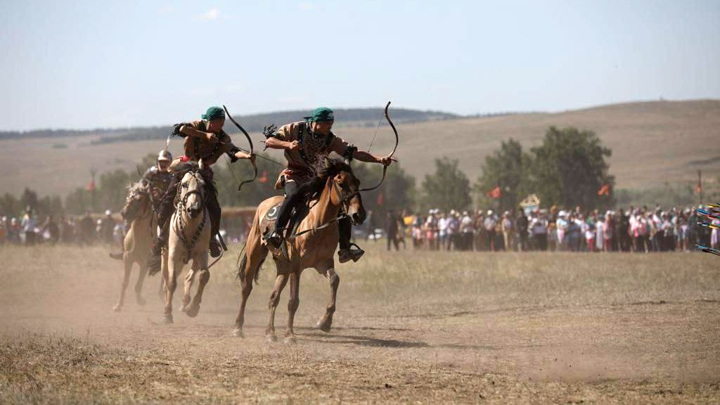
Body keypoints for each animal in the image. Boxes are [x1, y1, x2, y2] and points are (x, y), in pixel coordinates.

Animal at [112, 183, 167, 312]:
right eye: (128, 196)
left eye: (140, 199)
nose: (124, 213)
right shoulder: (128, 259)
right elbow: (125, 282)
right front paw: (118, 305)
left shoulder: (145, 263)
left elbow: (138, 285)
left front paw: (141, 301)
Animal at [160, 161, 211, 322]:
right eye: (184, 184)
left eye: (203, 185)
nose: (193, 209)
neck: (190, 225)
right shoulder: (173, 254)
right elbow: (171, 281)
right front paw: (167, 313)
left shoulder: (202, 253)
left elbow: (204, 276)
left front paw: (193, 308)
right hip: (166, 255)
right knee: (167, 278)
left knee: (190, 276)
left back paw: (186, 302)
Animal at [233, 158, 366, 340]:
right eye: (341, 183)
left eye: (357, 182)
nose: (359, 215)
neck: (317, 223)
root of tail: (263, 204)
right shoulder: (297, 266)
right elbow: (293, 301)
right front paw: (289, 335)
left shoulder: (323, 263)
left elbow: (334, 280)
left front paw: (324, 322)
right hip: (255, 253)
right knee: (246, 288)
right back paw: (238, 327)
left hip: (283, 265)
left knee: (274, 297)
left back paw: (270, 332)